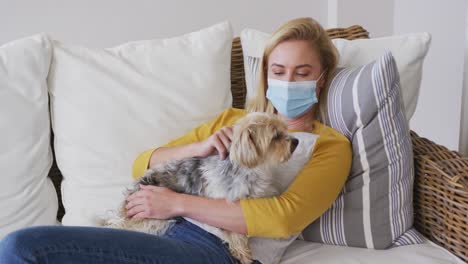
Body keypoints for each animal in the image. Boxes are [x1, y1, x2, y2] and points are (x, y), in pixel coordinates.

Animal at [103, 112, 300, 264]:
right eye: (275, 137)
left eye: (285, 129)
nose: (296, 141)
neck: (251, 169)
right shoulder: (228, 204)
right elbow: (236, 234)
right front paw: (243, 254)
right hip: (154, 221)